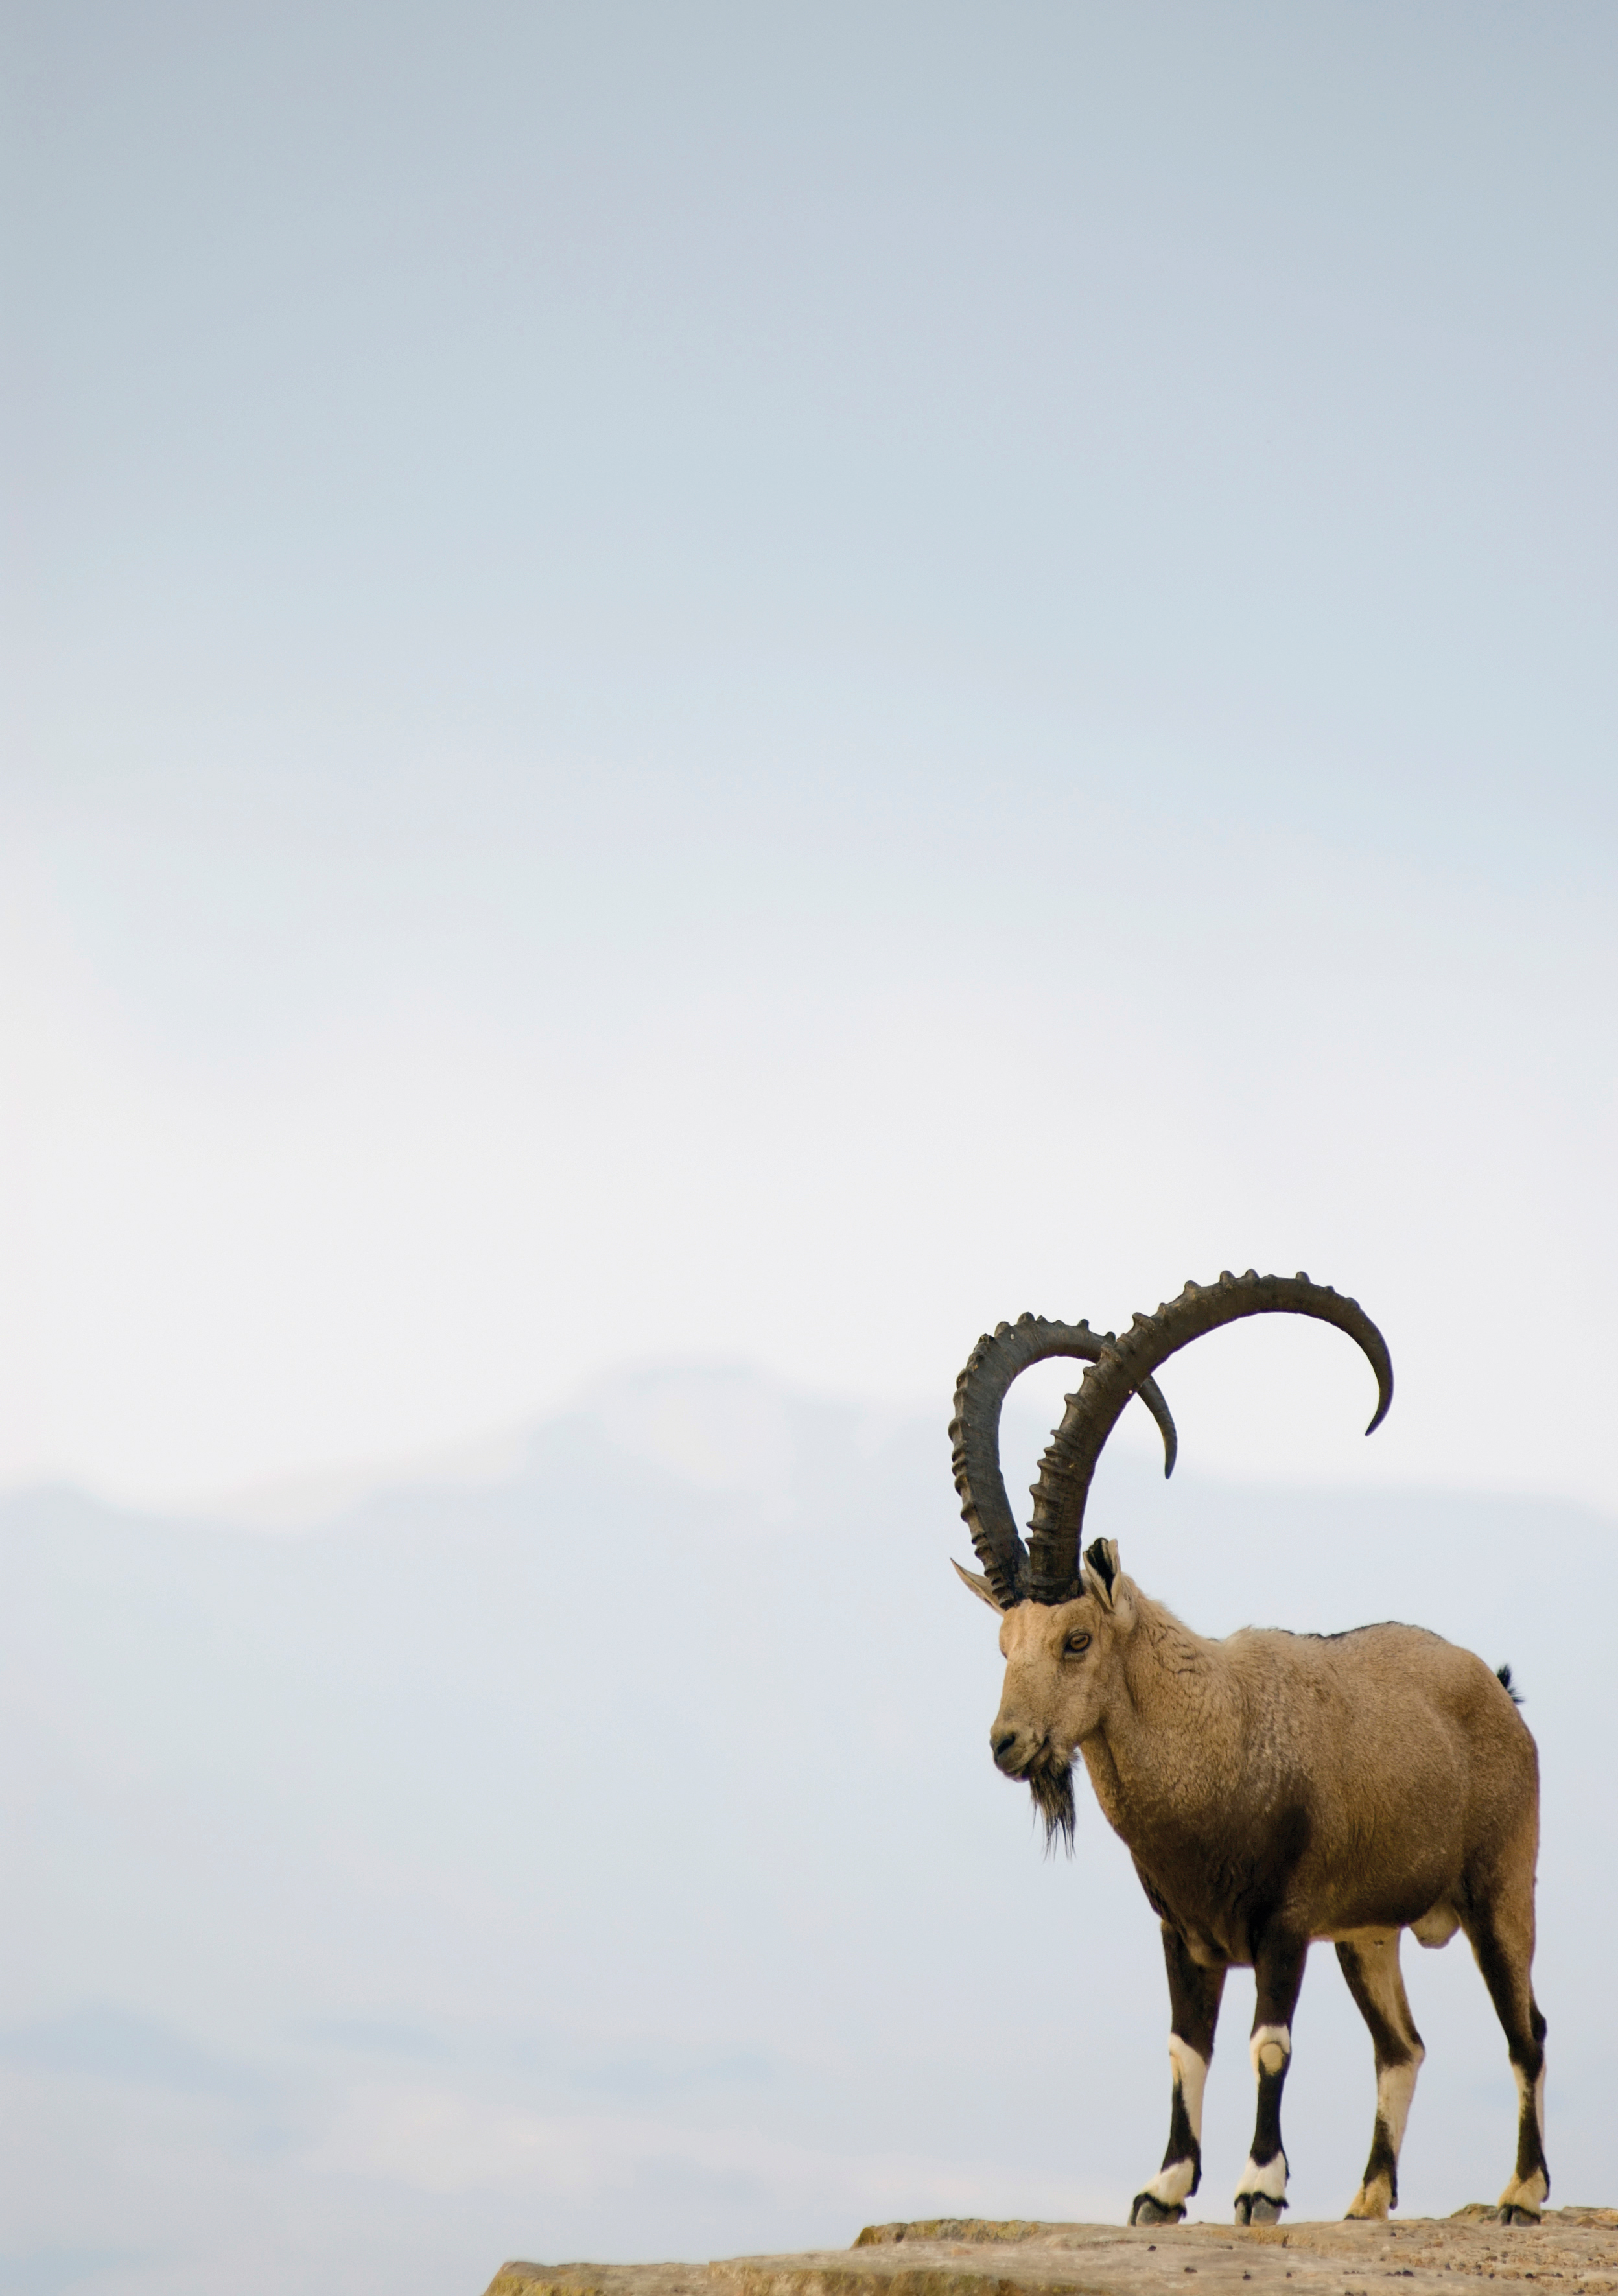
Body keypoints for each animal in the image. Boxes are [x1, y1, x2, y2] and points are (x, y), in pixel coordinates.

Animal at [950, 1271, 1547, 2229]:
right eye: (1005, 1641)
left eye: (1076, 1638)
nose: (1010, 1743)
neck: (1213, 1742)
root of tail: (1496, 1689)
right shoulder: (1184, 1933)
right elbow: (1185, 2048)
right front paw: (1162, 2188)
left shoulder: (1284, 1923)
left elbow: (1269, 2043)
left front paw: (1258, 2185)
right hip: (1368, 1934)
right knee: (1402, 2045)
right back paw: (1367, 2198)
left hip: (1499, 1889)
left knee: (1527, 2028)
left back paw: (1522, 2191)